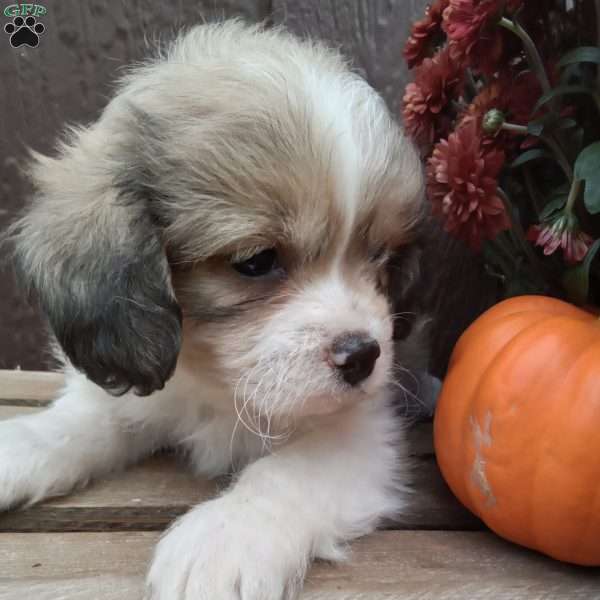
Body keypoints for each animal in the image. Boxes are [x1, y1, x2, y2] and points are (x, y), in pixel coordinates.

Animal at [3, 19, 432, 600]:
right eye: (256, 261)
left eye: (381, 257)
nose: (363, 355)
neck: (218, 386)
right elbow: (78, 421)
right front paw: (21, 443)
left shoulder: (362, 431)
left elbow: (286, 473)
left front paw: (228, 535)